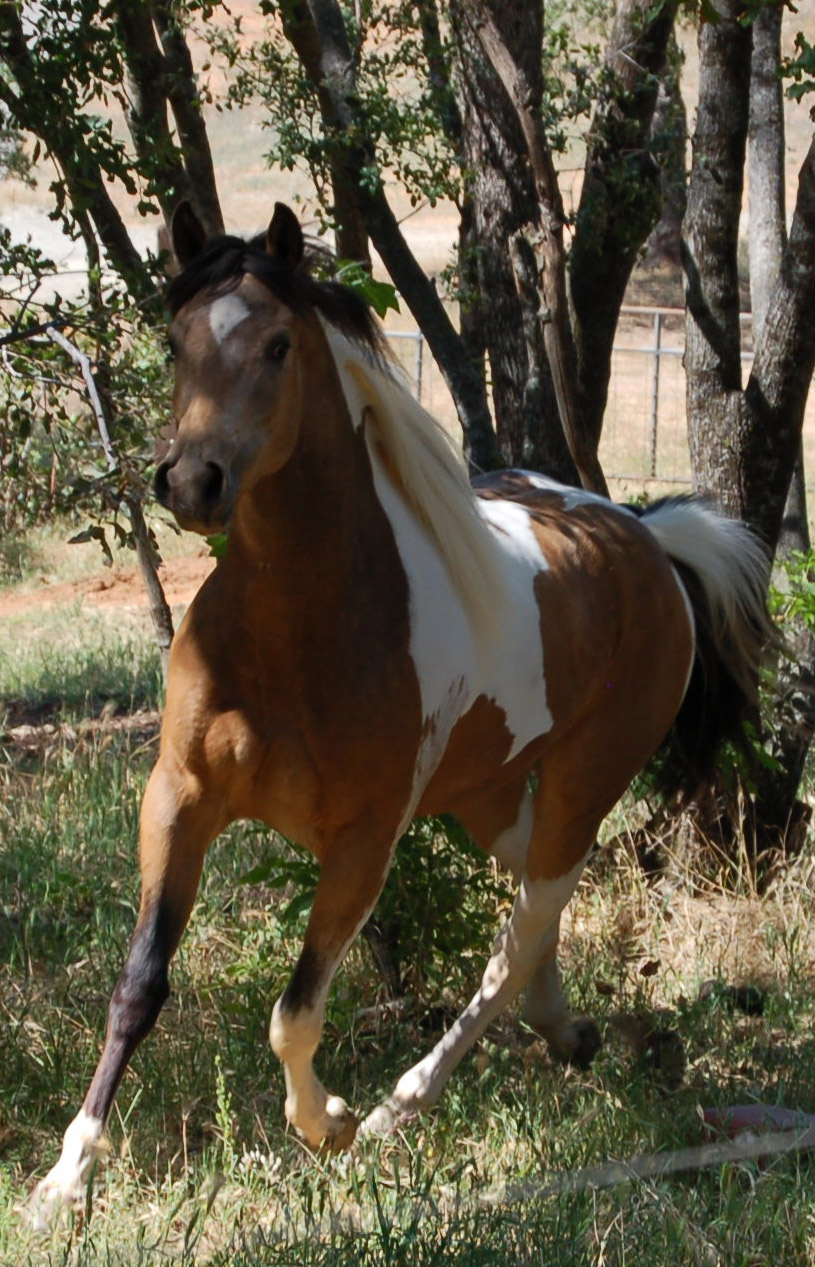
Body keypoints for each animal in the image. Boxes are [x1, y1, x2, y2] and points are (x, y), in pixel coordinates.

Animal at [31, 200, 775, 1216]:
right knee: (536, 903)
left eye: (277, 344)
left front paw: (329, 1123)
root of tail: (648, 540)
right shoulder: (178, 799)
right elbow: (138, 984)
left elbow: (294, 1011)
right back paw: (564, 1028)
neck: (294, 631)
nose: (191, 481)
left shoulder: (362, 840)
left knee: (520, 928)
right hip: (488, 795)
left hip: (585, 779)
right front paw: (65, 1175)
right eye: (174, 339)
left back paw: (403, 1102)